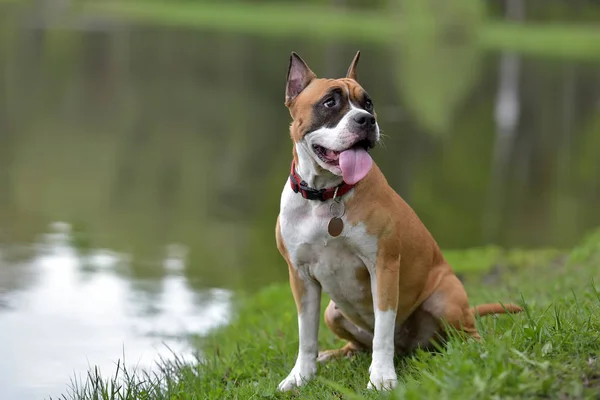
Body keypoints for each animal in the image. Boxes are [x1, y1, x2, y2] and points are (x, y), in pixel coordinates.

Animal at [274, 51, 524, 392]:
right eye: (330, 102)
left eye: (368, 103)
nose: (366, 120)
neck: (327, 196)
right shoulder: (300, 276)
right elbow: (306, 335)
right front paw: (300, 376)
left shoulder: (383, 266)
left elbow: (383, 328)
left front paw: (381, 377)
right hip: (332, 312)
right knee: (357, 345)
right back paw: (334, 355)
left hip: (445, 299)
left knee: (464, 333)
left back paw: (472, 348)